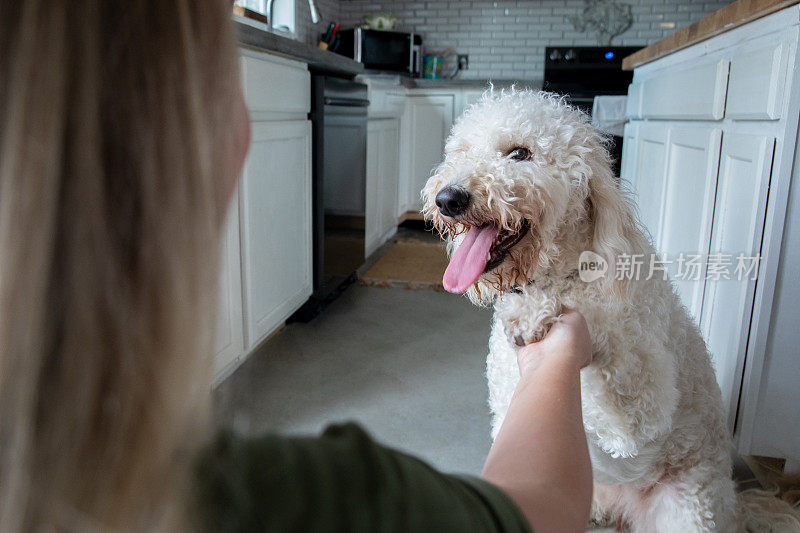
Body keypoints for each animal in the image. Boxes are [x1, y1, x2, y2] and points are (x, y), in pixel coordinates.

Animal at [422, 89, 796, 528]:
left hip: (686, 507)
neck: (558, 276)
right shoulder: (510, 409)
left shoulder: (645, 406)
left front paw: (538, 314)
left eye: (520, 153)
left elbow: (609, 343)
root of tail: (736, 507)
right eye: (460, 152)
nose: (448, 198)